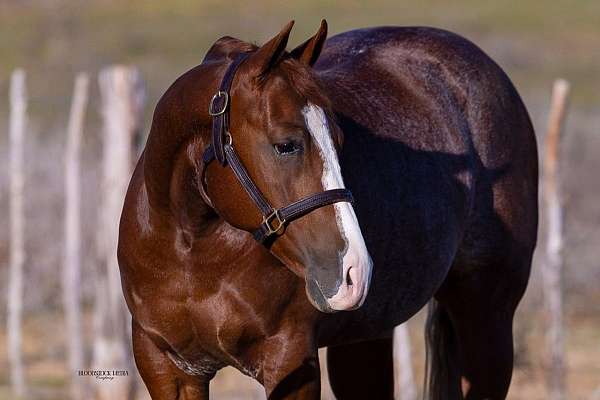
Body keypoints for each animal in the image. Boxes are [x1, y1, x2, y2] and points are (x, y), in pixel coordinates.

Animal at [118, 19, 540, 400]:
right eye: (285, 145)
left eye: (340, 139)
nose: (355, 270)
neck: (193, 251)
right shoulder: (168, 368)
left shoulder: (291, 363)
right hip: (366, 338)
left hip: (488, 321)